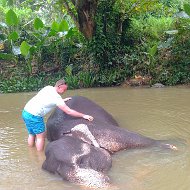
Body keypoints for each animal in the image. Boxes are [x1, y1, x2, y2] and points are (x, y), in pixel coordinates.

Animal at [42, 95, 177, 188]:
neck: (66, 134)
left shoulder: (104, 131)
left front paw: (176, 146)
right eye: (59, 174)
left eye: (82, 161)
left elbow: (141, 139)